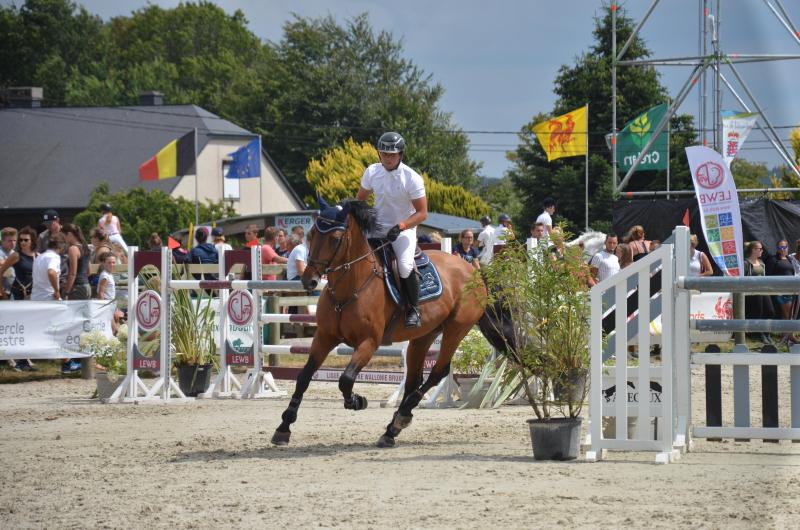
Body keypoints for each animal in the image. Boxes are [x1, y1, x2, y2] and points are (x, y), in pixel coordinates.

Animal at [268, 198, 506, 446]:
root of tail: (474, 271)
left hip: (455, 330)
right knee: (413, 379)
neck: (349, 288)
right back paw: (392, 428)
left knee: (438, 372)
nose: (309, 280)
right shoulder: (325, 337)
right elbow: (304, 377)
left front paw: (357, 401)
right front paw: (284, 427)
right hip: (424, 336)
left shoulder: (369, 342)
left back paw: (402, 416)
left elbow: (346, 379)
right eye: (312, 235)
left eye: (335, 238)